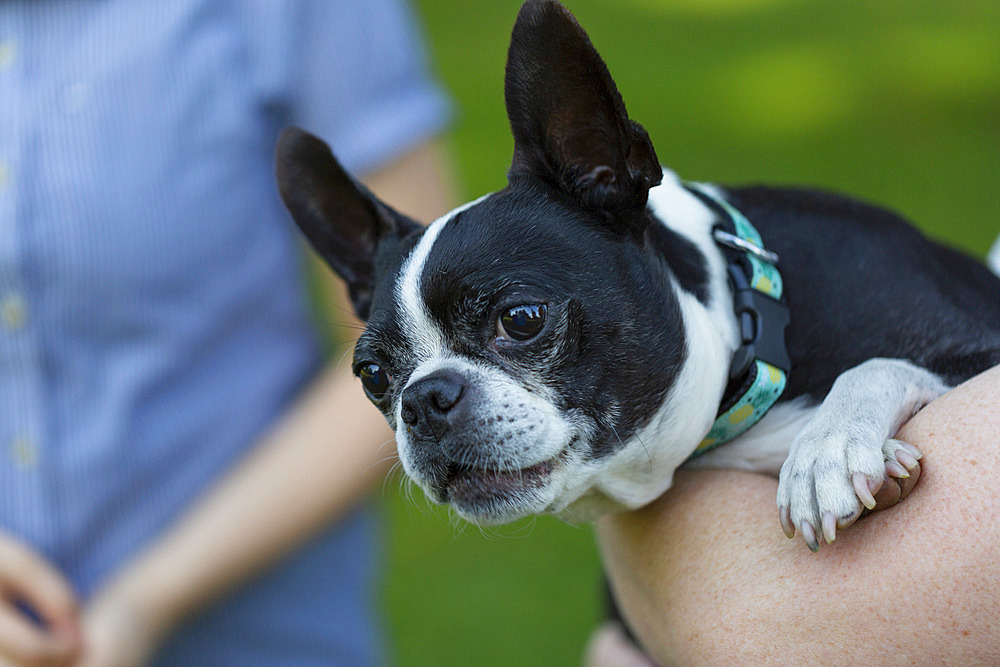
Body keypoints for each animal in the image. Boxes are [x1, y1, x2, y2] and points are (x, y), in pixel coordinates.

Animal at [274, 0, 1000, 552]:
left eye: (521, 318)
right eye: (373, 376)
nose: (422, 401)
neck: (753, 324)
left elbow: (873, 365)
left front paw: (829, 448)